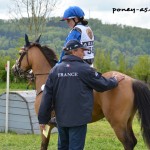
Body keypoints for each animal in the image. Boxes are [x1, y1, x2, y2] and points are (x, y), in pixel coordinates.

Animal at [11, 34, 150, 149]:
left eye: (19, 53)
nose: (14, 69)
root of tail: (131, 80)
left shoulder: (45, 125)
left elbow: (44, 145)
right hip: (127, 121)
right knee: (133, 141)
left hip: (117, 123)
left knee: (128, 143)